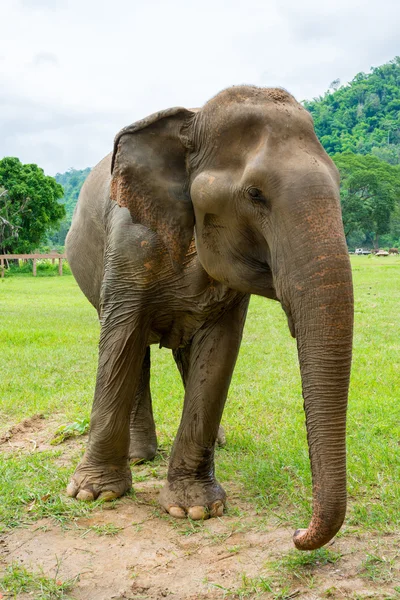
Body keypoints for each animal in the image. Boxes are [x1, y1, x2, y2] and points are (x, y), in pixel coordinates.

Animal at [65, 86, 354, 552]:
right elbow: (120, 339)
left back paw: (214, 441)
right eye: (255, 194)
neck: (190, 121)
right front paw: (93, 494)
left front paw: (195, 509)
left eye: (341, 183)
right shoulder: (129, 243)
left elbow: (218, 353)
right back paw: (139, 457)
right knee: (133, 350)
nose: (296, 533)